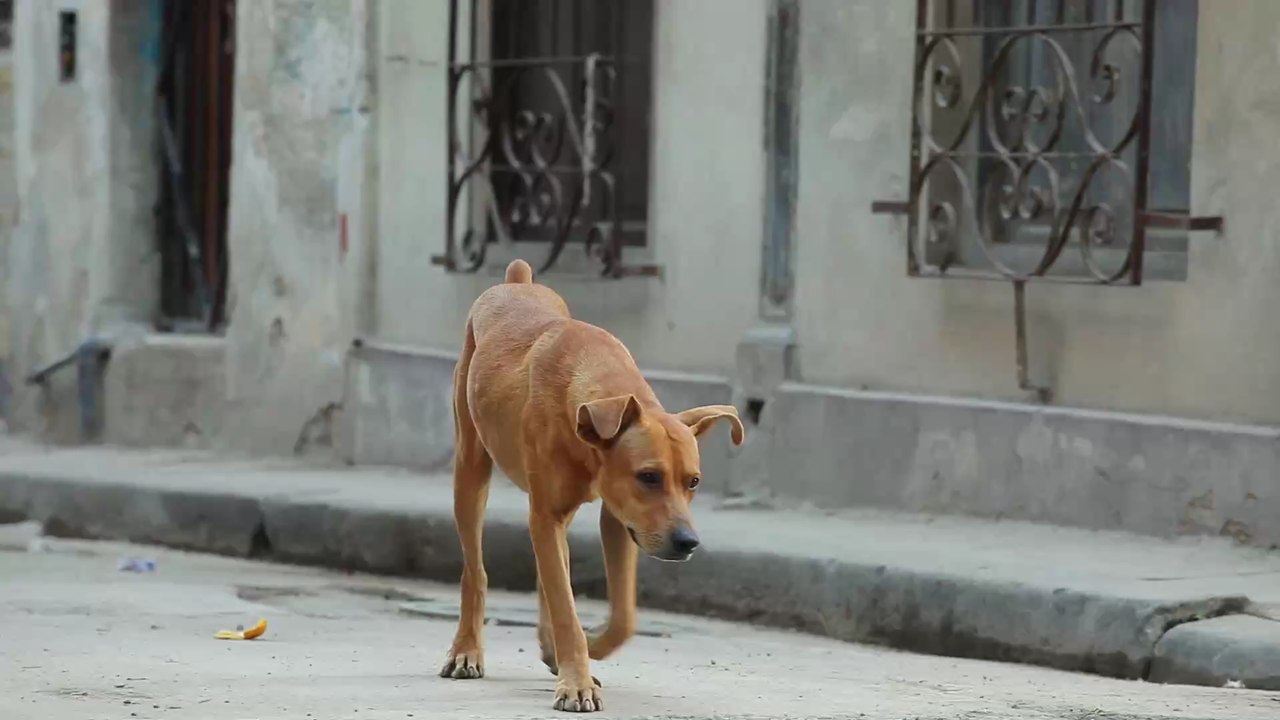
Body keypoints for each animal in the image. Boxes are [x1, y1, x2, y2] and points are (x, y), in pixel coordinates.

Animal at [440, 258, 747, 712]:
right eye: (649, 477)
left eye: (693, 482)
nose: (688, 542)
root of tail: (516, 282)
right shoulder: (550, 513)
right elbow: (566, 607)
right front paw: (577, 679)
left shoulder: (619, 518)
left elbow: (622, 617)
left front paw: (587, 650)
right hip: (470, 469)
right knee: (474, 569)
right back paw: (467, 650)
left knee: (551, 576)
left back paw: (552, 648)